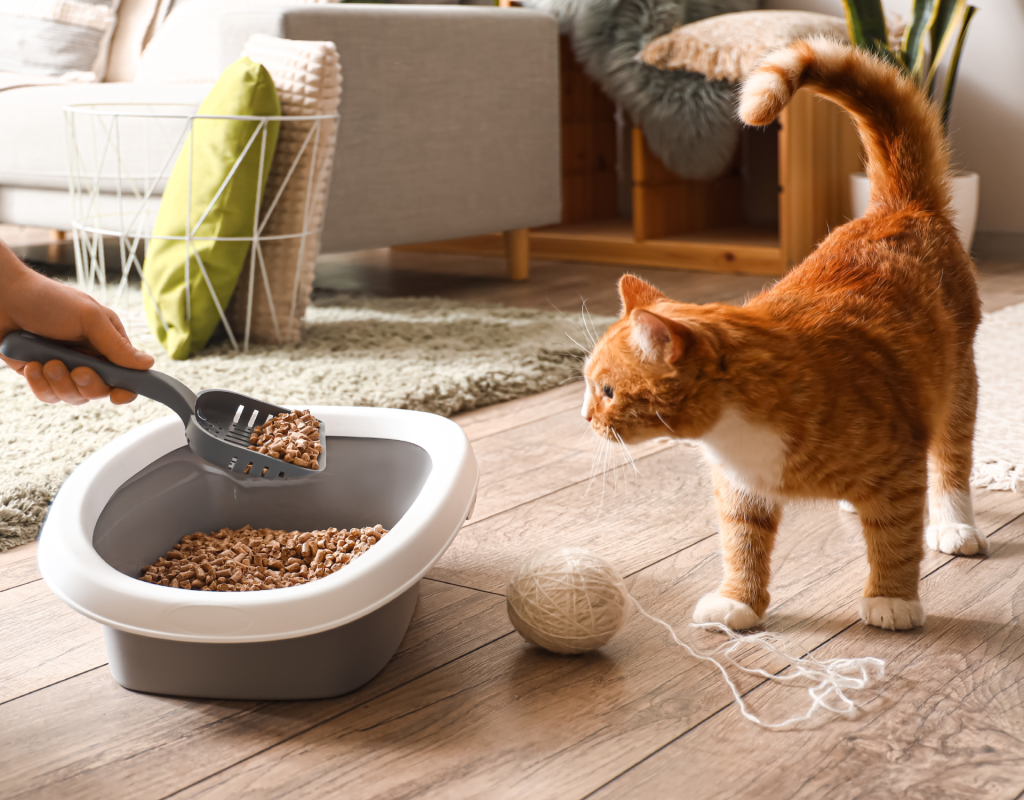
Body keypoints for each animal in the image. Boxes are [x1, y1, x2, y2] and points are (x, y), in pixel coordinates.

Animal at [585, 40, 983, 630]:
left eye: (608, 392)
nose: (585, 418)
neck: (734, 428)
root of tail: (899, 206)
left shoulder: (898, 468)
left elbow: (895, 539)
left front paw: (891, 600)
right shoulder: (740, 488)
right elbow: (742, 545)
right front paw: (738, 602)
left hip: (957, 386)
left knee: (950, 461)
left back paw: (955, 525)